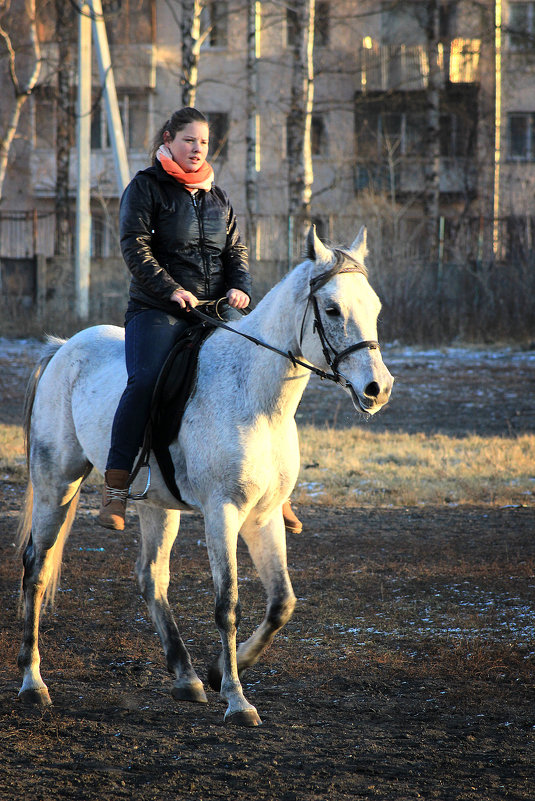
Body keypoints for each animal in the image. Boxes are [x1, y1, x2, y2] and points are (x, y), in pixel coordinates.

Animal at [16, 223, 394, 724]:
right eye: (331, 309)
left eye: (375, 308)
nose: (377, 389)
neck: (257, 398)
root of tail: (63, 349)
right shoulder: (223, 511)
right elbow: (227, 603)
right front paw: (236, 699)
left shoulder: (265, 516)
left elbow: (282, 602)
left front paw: (218, 675)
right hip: (56, 483)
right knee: (36, 568)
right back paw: (32, 682)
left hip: (157, 505)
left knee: (151, 576)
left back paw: (187, 677)